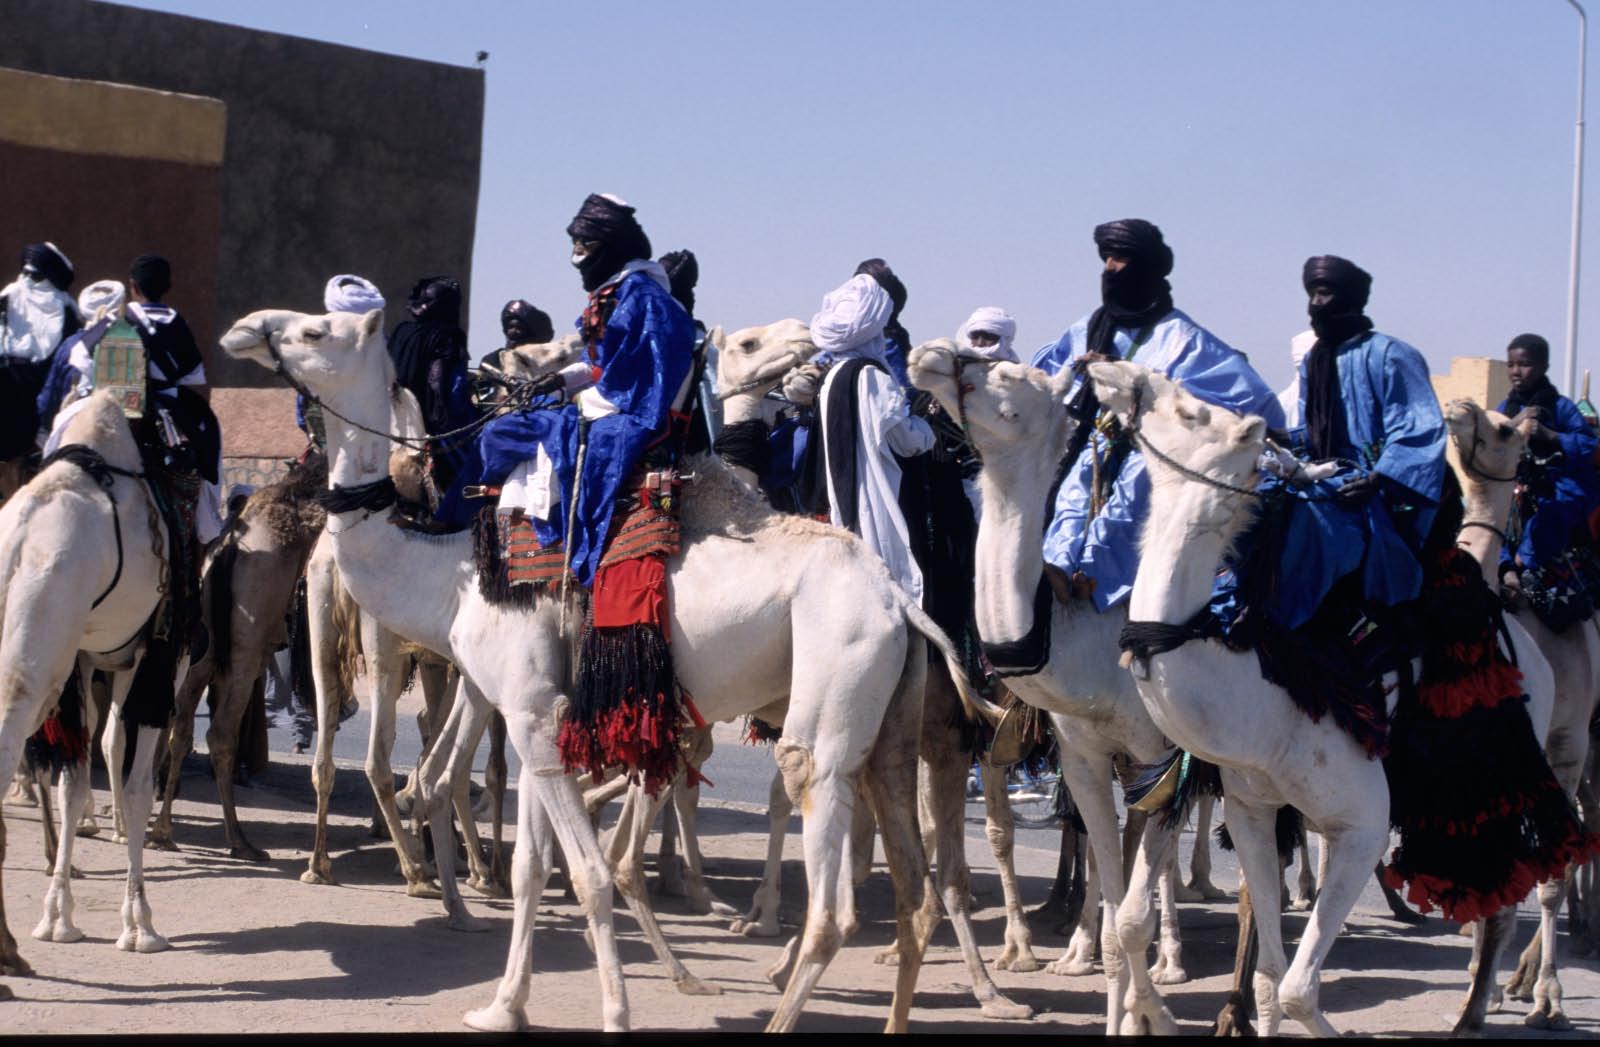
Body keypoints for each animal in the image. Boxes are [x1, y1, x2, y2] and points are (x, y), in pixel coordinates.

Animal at [0, 393, 173, 996]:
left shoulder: (88, 661)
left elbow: (77, 782)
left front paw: (58, 918)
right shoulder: (157, 655)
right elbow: (137, 784)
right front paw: (141, 925)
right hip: (34, 668)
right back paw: (8, 956)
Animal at [220, 306, 1007, 1033]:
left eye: (316, 331)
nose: (247, 329)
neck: (450, 574)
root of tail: (901, 605)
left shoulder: (533, 712)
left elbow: (590, 873)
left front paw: (615, 1012)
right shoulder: (536, 719)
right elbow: (531, 870)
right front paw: (501, 1008)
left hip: (835, 682)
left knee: (829, 884)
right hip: (890, 723)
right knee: (911, 889)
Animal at [1077, 359, 1560, 1036]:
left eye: (1193, 413)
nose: (1114, 370)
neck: (1264, 704)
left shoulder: (1364, 822)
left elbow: (1301, 990)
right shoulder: (1252, 810)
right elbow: (1271, 975)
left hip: (1498, 771)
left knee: (1504, 895)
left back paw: (1480, 1011)